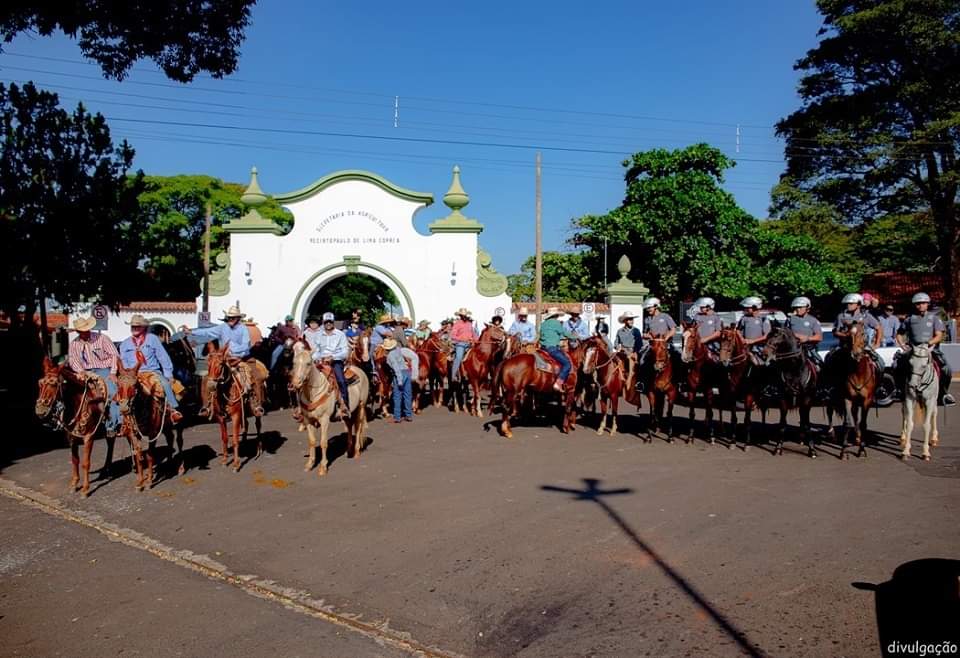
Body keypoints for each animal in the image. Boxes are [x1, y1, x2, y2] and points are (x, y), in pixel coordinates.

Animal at [34, 356, 122, 494]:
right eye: (40, 383)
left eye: (54, 383)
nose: (40, 410)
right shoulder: (72, 437)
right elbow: (75, 460)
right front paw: (74, 483)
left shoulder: (89, 437)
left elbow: (85, 462)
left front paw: (85, 489)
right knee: (110, 441)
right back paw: (106, 469)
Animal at [202, 344, 262, 472]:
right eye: (208, 363)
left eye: (221, 364)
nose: (211, 386)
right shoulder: (220, 418)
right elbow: (225, 438)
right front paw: (225, 460)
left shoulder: (236, 415)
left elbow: (234, 440)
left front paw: (236, 464)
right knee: (246, 425)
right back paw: (245, 443)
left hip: (256, 410)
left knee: (258, 425)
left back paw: (259, 450)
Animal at [286, 340, 370, 474]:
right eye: (294, 363)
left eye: (308, 363)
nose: (295, 383)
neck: (313, 393)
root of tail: (359, 370)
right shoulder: (308, 420)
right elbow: (312, 441)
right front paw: (309, 464)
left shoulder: (324, 419)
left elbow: (324, 442)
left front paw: (323, 467)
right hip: (347, 413)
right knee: (349, 426)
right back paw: (348, 451)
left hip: (361, 407)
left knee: (357, 427)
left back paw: (357, 452)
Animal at [824, 320, 876, 458]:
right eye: (848, 335)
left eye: (863, 333)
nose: (856, 354)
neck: (858, 373)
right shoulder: (847, 398)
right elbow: (847, 423)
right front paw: (843, 451)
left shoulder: (867, 400)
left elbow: (863, 423)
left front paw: (861, 449)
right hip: (831, 393)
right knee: (830, 410)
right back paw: (831, 433)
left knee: (855, 415)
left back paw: (857, 438)